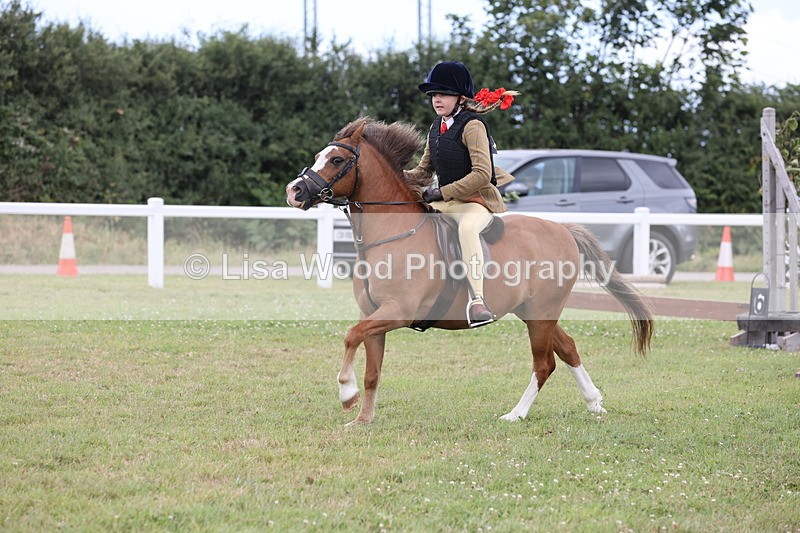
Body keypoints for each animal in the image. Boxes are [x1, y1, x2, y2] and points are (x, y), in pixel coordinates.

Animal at [286, 117, 653, 425]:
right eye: (319, 156)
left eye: (336, 160)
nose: (295, 191)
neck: (391, 233)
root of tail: (563, 230)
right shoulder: (373, 315)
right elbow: (371, 369)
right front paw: (362, 419)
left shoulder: (398, 311)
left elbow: (351, 335)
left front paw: (346, 394)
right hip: (533, 311)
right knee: (568, 349)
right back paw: (594, 402)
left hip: (541, 312)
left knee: (544, 362)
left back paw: (515, 415)